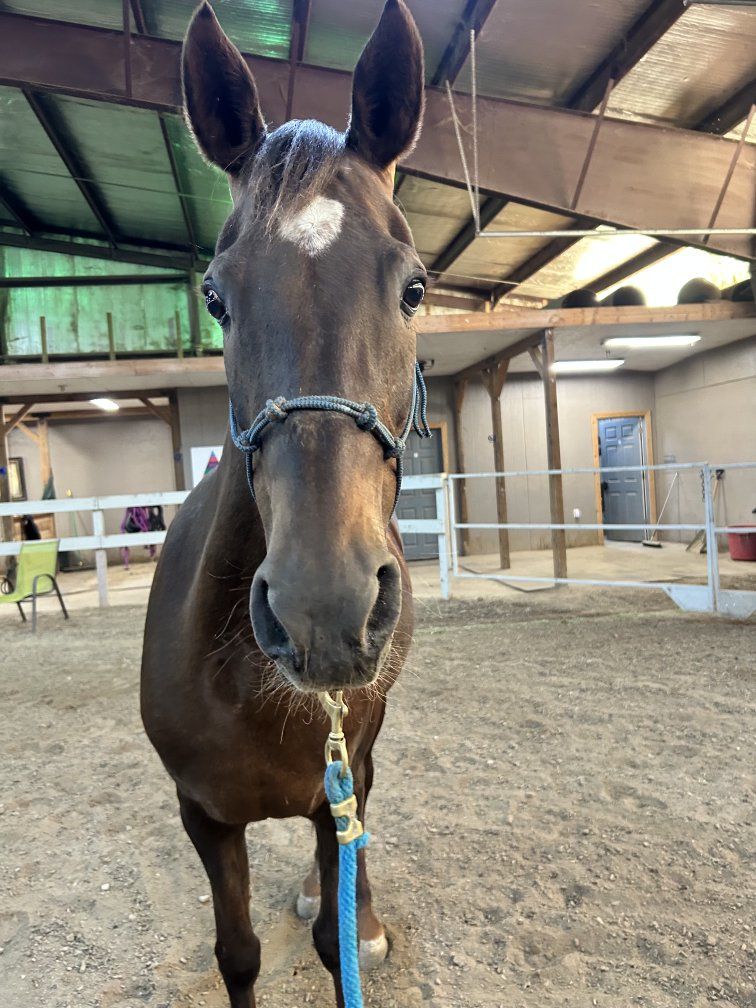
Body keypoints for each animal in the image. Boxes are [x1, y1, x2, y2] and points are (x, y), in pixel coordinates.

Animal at [140, 2, 426, 1005]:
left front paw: (351, 924)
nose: (322, 610)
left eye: (414, 287)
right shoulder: (202, 817)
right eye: (215, 298)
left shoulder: (332, 783)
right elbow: (238, 955)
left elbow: (335, 942)